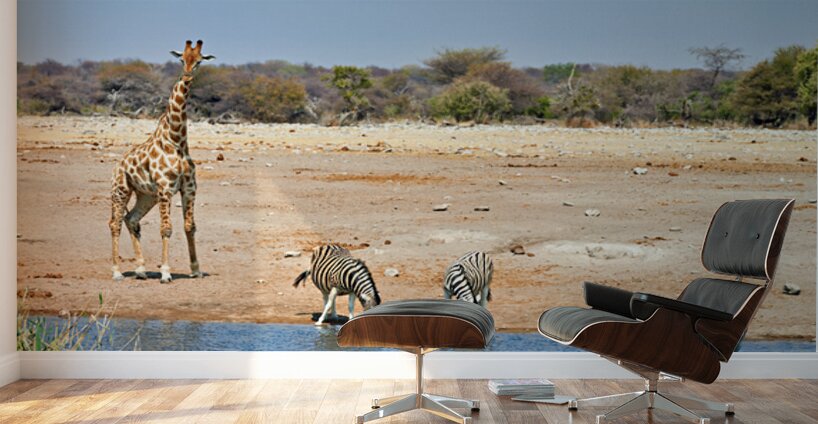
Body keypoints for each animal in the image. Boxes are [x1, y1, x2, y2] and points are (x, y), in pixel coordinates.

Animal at [109, 40, 214, 283]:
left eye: (199, 60)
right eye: (181, 59)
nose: (187, 76)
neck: (177, 140)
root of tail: (118, 165)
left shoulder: (189, 188)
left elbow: (189, 226)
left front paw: (196, 269)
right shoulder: (166, 188)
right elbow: (166, 228)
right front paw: (166, 272)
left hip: (146, 195)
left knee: (131, 219)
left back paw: (140, 269)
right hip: (121, 190)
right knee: (115, 223)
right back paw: (117, 271)